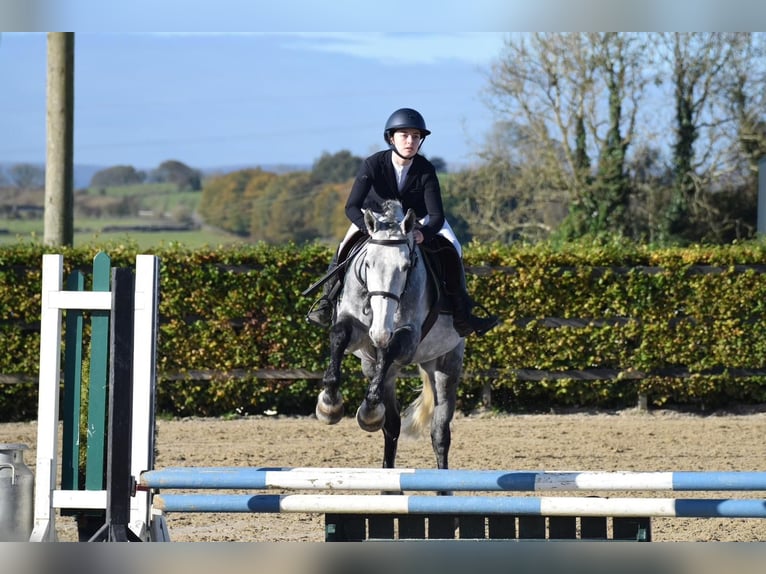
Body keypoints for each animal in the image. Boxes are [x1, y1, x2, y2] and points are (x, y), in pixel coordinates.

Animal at [316, 201, 464, 472]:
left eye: (406, 267)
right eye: (368, 264)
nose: (379, 332)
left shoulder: (408, 337)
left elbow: (391, 346)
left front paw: (367, 410)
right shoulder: (358, 333)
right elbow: (340, 335)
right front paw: (329, 405)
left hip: (447, 364)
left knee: (439, 433)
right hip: (378, 368)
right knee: (391, 427)